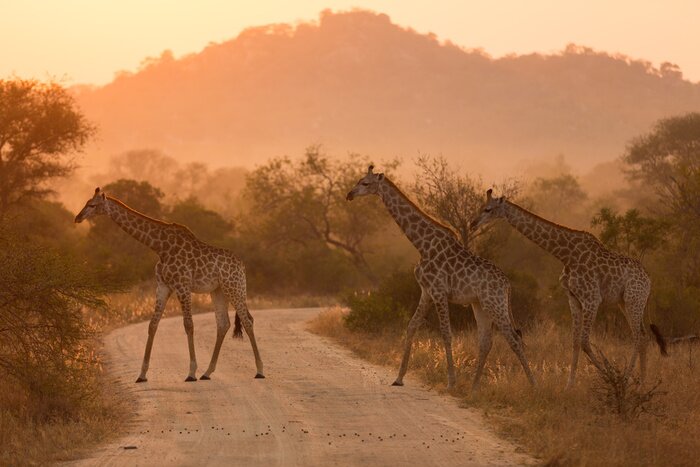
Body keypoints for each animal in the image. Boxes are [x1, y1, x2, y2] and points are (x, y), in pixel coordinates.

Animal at [75, 188, 264, 382]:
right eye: (87, 202)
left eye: (92, 205)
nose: (78, 217)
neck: (160, 247)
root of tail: (242, 265)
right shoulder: (163, 286)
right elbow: (152, 325)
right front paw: (142, 374)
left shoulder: (182, 285)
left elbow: (188, 325)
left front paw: (191, 372)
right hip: (218, 290)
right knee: (223, 323)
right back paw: (207, 372)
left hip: (234, 287)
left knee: (247, 320)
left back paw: (259, 370)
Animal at [346, 166, 536, 390]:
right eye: (359, 180)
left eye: (365, 183)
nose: (349, 195)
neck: (422, 244)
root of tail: (507, 285)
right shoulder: (426, 292)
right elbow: (411, 326)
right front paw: (399, 378)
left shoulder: (438, 291)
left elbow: (446, 333)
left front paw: (451, 382)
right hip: (480, 305)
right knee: (486, 341)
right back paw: (474, 387)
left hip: (494, 303)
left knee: (514, 338)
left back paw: (533, 386)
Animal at [470, 189, 665, 388]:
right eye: (481, 206)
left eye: (488, 209)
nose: (472, 224)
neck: (566, 255)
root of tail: (649, 279)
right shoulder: (573, 298)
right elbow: (575, 342)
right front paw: (569, 386)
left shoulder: (591, 299)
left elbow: (585, 342)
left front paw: (610, 377)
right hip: (624, 302)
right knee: (643, 336)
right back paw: (642, 382)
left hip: (634, 299)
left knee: (638, 336)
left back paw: (626, 379)